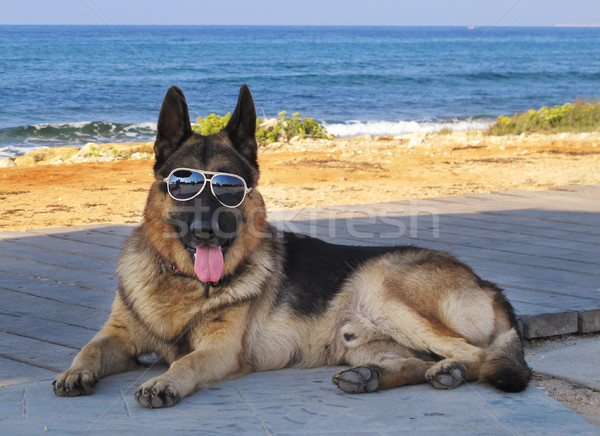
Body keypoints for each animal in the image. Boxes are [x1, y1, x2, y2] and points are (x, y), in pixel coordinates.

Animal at [51, 86, 528, 408]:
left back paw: (449, 371)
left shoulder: (220, 351)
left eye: (229, 190)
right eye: (184, 186)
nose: (206, 232)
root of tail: (487, 284)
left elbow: (184, 363)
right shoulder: (117, 335)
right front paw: (74, 372)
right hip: (361, 339)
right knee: (413, 362)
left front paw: (164, 381)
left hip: (386, 287)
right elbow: (89, 348)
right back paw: (370, 377)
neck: (182, 281)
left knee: (477, 354)